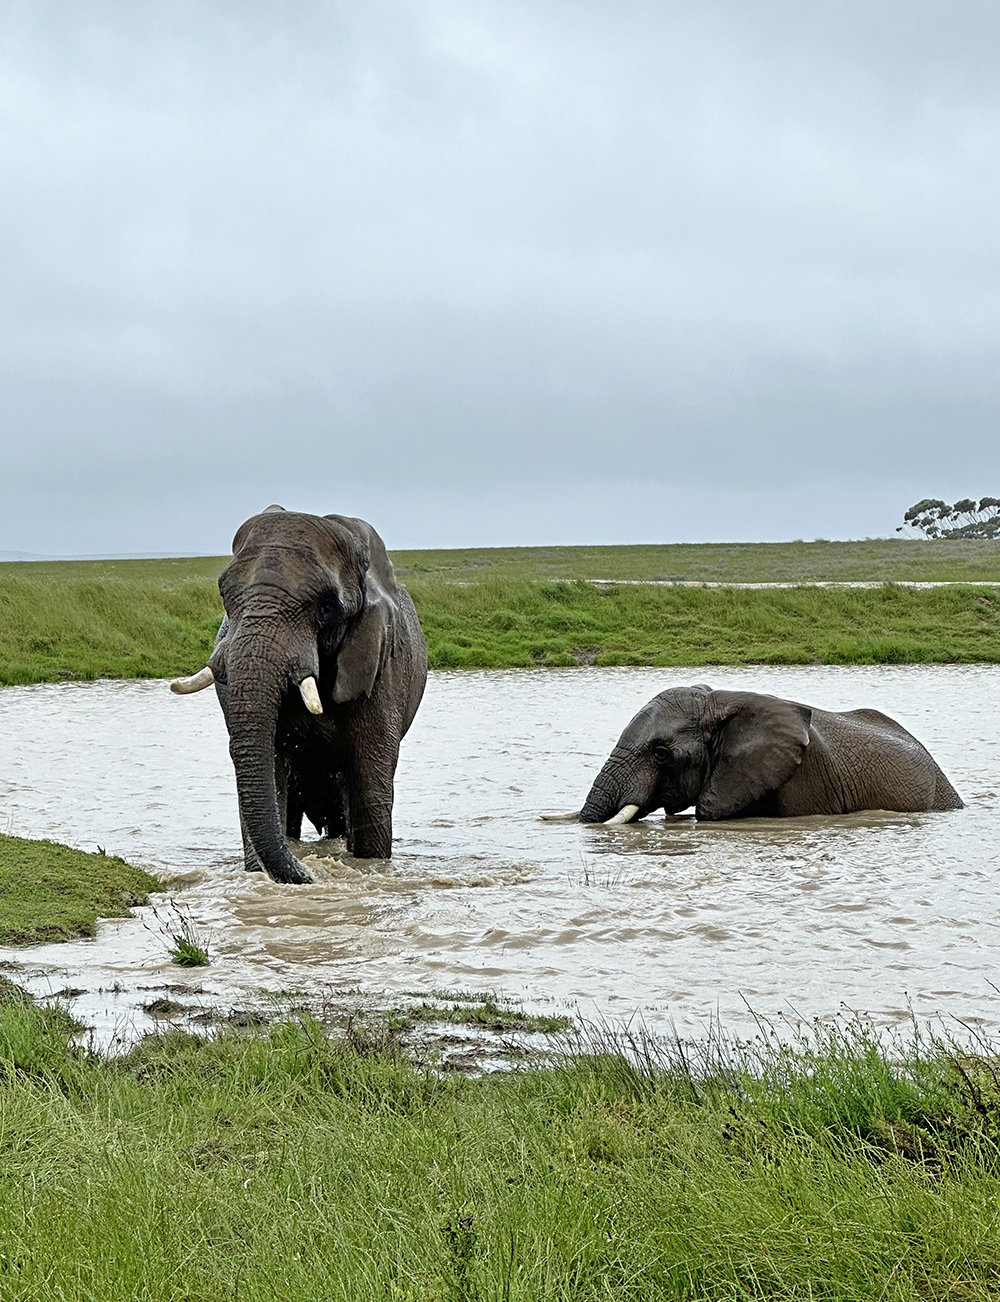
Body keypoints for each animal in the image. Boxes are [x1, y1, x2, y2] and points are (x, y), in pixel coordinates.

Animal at [170, 507, 427, 885]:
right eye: (225, 597)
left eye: (325, 608)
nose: (312, 874)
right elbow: (272, 769)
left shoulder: (381, 664)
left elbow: (369, 787)